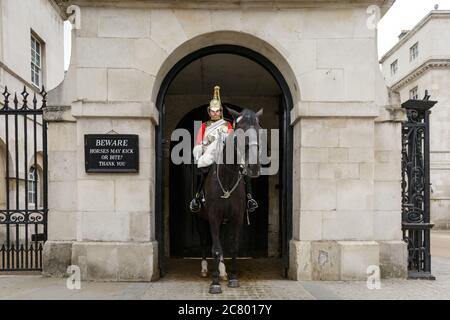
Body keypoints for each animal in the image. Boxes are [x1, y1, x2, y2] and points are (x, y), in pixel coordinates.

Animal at [194, 107, 264, 296]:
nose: (254, 167)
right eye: (240, 130)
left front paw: (232, 277)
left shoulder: (236, 217)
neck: (227, 179)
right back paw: (205, 269)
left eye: (258, 130)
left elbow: (232, 246)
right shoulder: (213, 217)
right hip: (201, 219)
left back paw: (223, 271)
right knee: (205, 242)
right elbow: (216, 248)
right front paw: (215, 283)